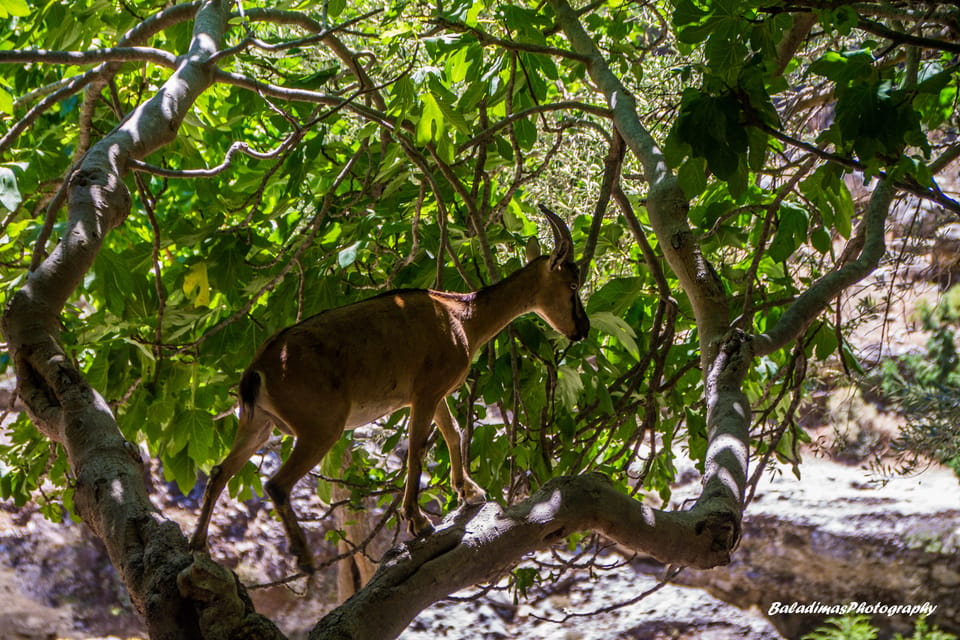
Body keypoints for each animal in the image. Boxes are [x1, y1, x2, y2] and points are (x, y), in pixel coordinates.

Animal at [188, 206, 588, 576]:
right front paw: (419, 521)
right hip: (320, 427)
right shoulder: (425, 392)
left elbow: (452, 432)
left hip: (257, 424)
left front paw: (470, 492)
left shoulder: (434, 393)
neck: (462, 317)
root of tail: (258, 370)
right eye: (572, 285)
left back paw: (198, 547)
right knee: (276, 484)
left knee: (220, 472)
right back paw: (304, 559)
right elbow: (416, 451)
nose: (582, 328)